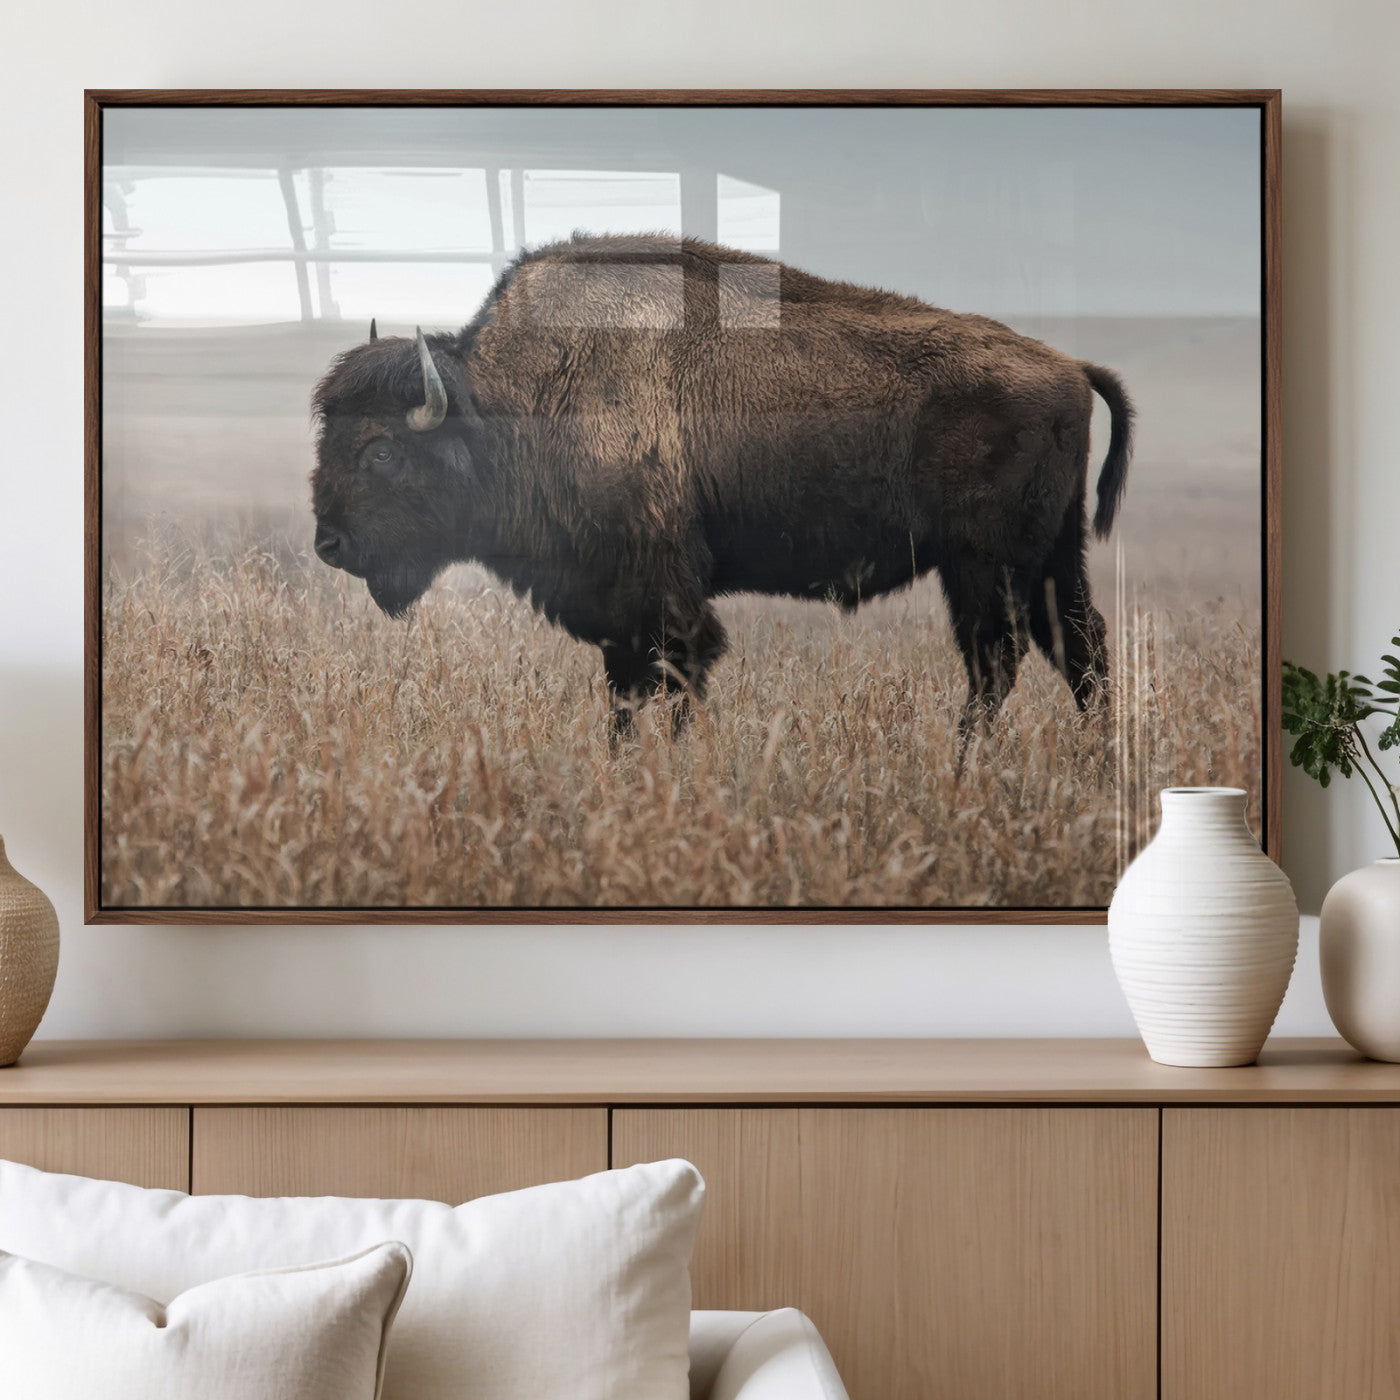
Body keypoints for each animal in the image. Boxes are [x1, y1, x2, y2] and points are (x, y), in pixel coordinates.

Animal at [311, 233, 1133, 739]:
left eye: (381, 452)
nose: (329, 545)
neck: (512, 402)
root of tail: (1068, 366)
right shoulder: (620, 614)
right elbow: (626, 697)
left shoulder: (664, 599)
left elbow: (675, 682)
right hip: (1049, 561)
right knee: (1079, 650)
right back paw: (1091, 765)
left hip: (985, 567)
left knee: (999, 662)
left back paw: (967, 769)